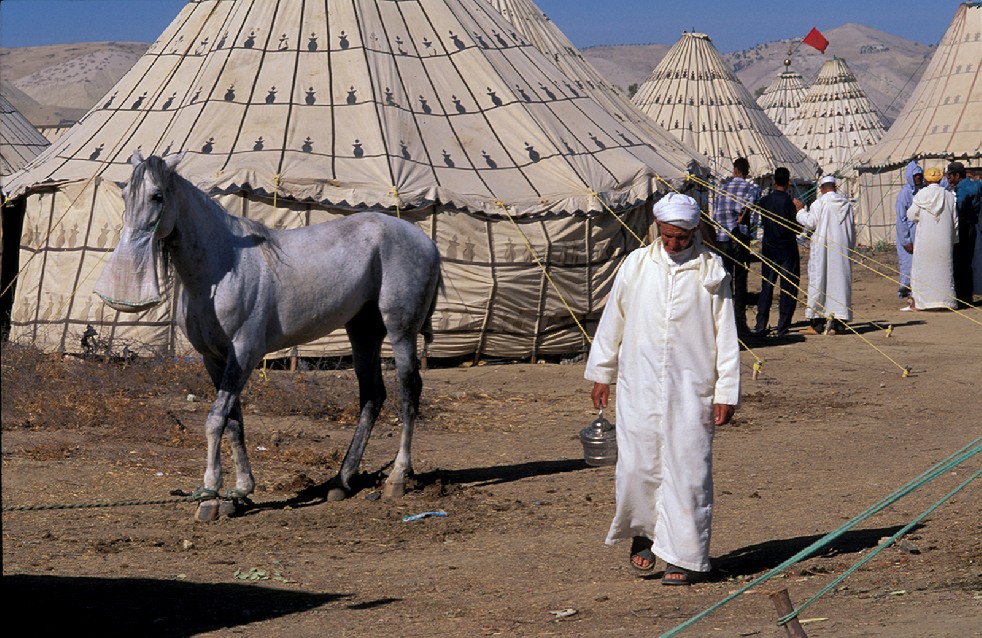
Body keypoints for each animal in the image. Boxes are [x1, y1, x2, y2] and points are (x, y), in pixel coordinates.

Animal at [96, 152, 442, 524]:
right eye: (124, 195)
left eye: (157, 196)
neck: (222, 267)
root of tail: (426, 242)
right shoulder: (214, 359)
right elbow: (234, 423)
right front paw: (239, 493)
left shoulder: (245, 354)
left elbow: (215, 420)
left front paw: (210, 496)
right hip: (364, 331)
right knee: (372, 397)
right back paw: (342, 481)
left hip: (400, 330)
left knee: (408, 393)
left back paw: (397, 478)